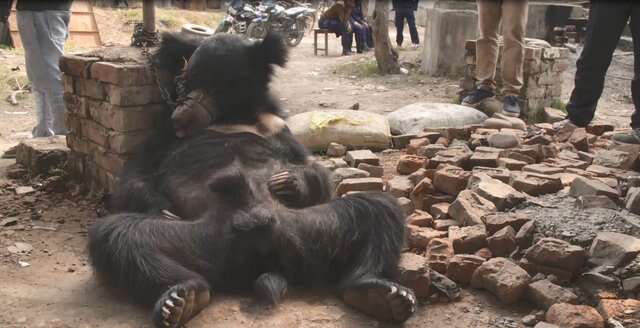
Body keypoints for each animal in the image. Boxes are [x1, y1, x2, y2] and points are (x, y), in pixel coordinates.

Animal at [87, 31, 416, 328]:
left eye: (213, 85)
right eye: (186, 83)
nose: (183, 107)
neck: (231, 117)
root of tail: (263, 261)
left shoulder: (279, 127)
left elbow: (315, 172)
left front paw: (287, 182)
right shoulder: (163, 132)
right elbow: (136, 176)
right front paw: (165, 210)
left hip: (315, 227)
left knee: (377, 209)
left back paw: (383, 295)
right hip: (197, 240)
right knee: (119, 235)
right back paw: (180, 298)